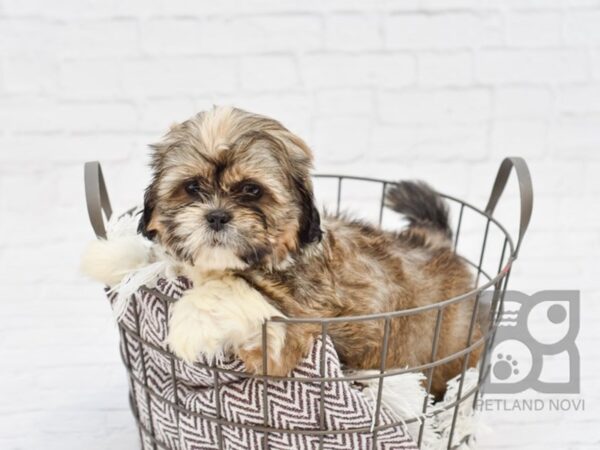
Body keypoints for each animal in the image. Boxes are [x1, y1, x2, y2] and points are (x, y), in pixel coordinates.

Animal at [138, 106, 480, 398]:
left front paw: (191, 323)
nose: (217, 216)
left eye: (252, 190)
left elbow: (236, 293)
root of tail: (434, 243)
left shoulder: (291, 325)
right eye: (192, 187)